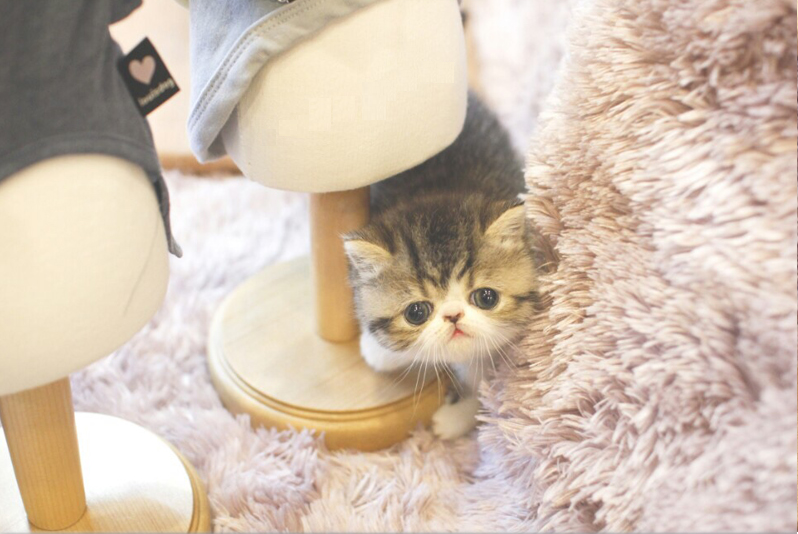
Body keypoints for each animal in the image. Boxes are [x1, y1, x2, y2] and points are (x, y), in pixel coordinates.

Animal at [343, 92, 542, 439]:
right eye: (416, 312)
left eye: (486, 297)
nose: (453, 315)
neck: (439, 190)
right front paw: (377, 351)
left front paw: (453, 419)